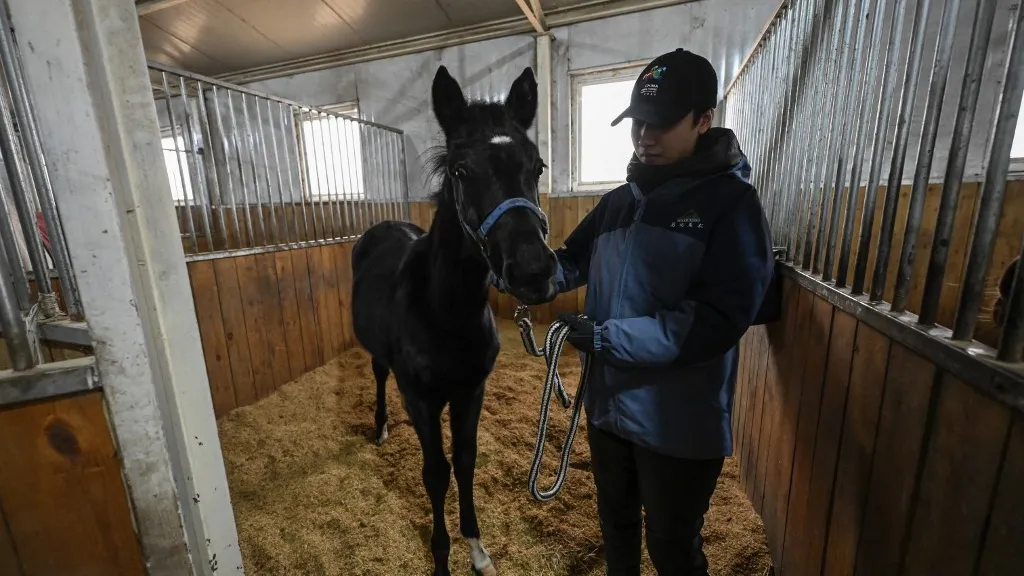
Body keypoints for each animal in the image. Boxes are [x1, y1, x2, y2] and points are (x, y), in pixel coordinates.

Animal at [350, 64, 559, 576]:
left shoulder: (470, 391)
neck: (445, 311)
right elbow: (435, 472)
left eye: (537, 167)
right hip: (382, 362)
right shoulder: (423, 400)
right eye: (461, 171)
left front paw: (477, 550)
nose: (534, 272)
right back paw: (381, 428)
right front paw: (442, 557)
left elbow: (465, 461)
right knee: (379, 377)